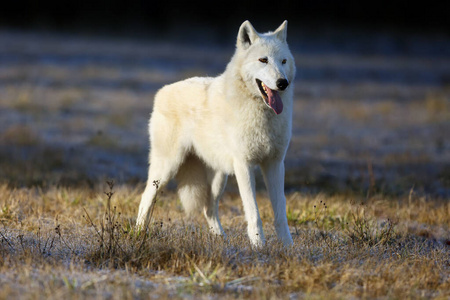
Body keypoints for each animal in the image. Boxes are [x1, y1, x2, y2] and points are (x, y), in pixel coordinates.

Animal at [136, 20, 296, 246]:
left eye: (283, 61)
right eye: (263, 60)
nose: (283, 83)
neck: (262, 113)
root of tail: (162, 91)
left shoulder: (274, 164)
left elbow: (280, 212)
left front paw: (288, 248)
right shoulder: (244, 165)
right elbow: (254, 213)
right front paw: (259, 247)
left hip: (220, 178)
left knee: (208, 209)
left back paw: (223, 242)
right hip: (166, 169)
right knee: (145, 199)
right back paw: (138, 235)